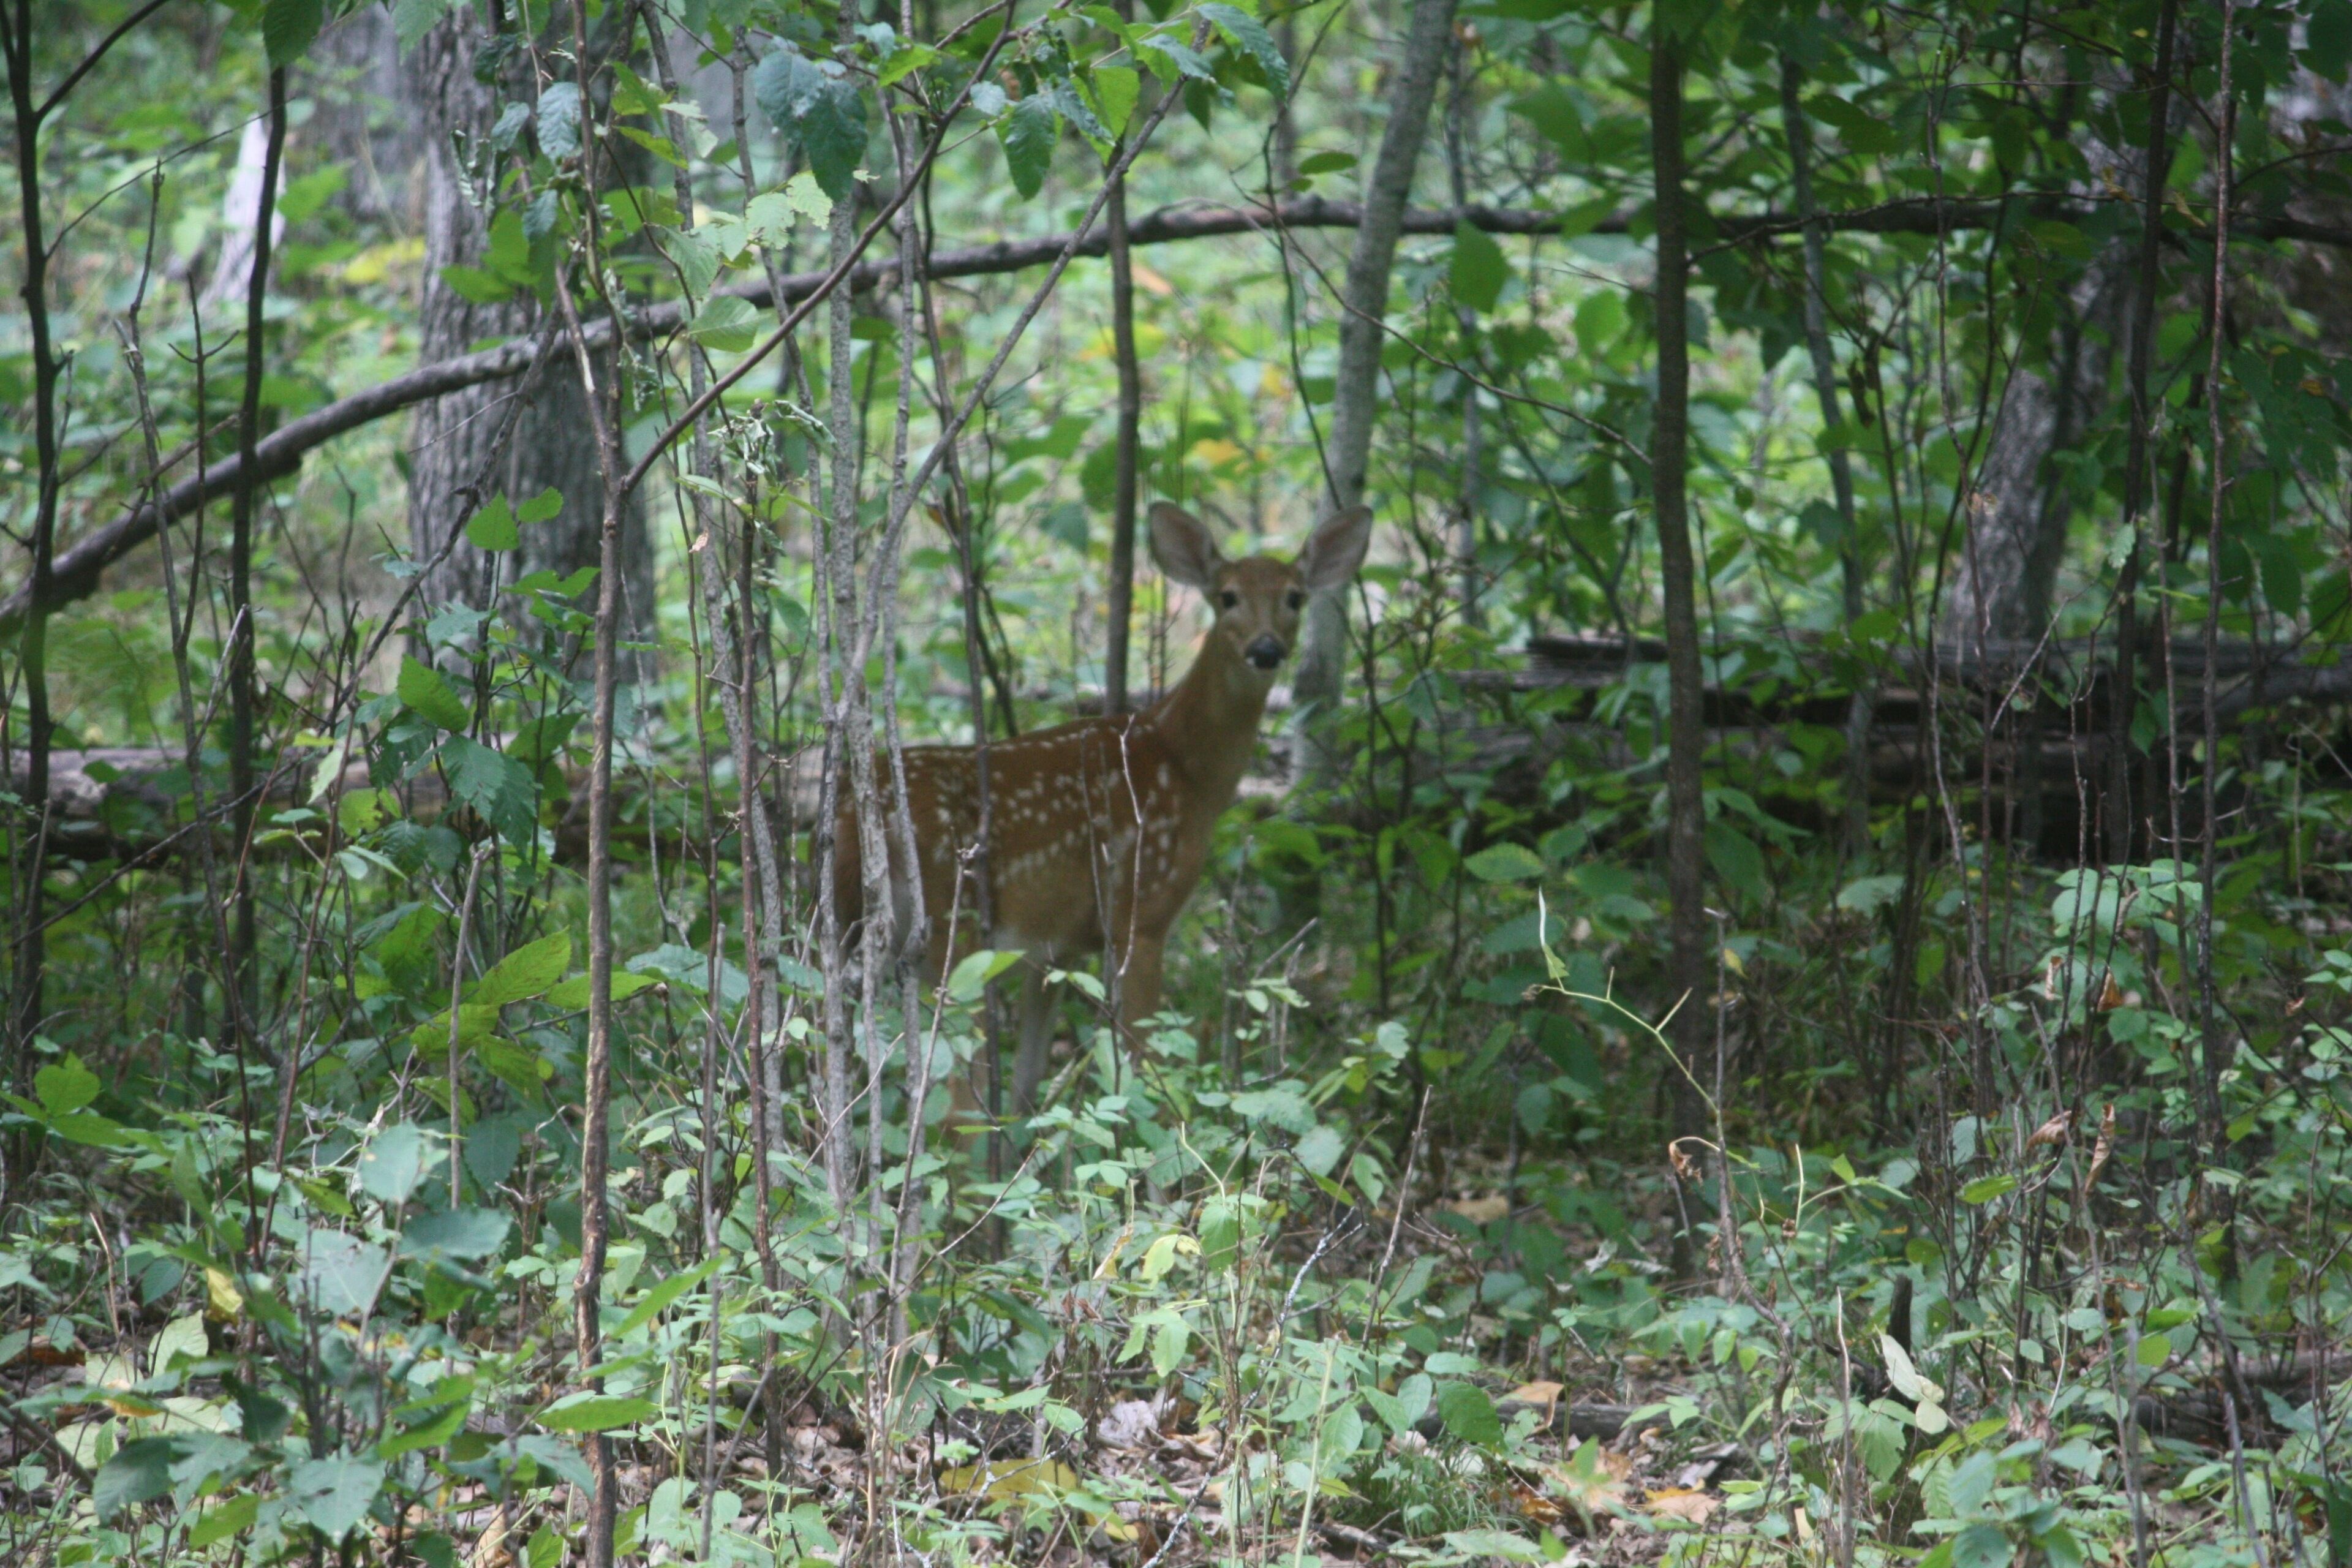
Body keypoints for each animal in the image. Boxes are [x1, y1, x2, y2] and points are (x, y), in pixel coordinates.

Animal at [830, 501, 1373, 1117]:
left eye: (1295, 597)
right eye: (1228, 596)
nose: (1266, 650)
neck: (1185, 765)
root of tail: (853, 818)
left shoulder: (1056, 946)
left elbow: (1029, 1084)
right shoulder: (1143, 909)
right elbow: (1142, 1065)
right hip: (951, 927)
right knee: (951, 1102)